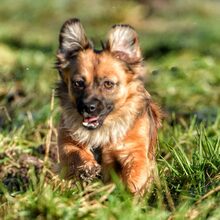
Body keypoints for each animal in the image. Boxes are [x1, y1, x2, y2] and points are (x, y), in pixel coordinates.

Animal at [55, 18, 162, 195]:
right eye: (78, 83)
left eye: (108, 84)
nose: (88, 107)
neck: (102, 131)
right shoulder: (66, 142)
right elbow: (75, 152)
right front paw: (88, 167)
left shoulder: (134, 151)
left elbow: (135, 174)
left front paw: (130, 196)